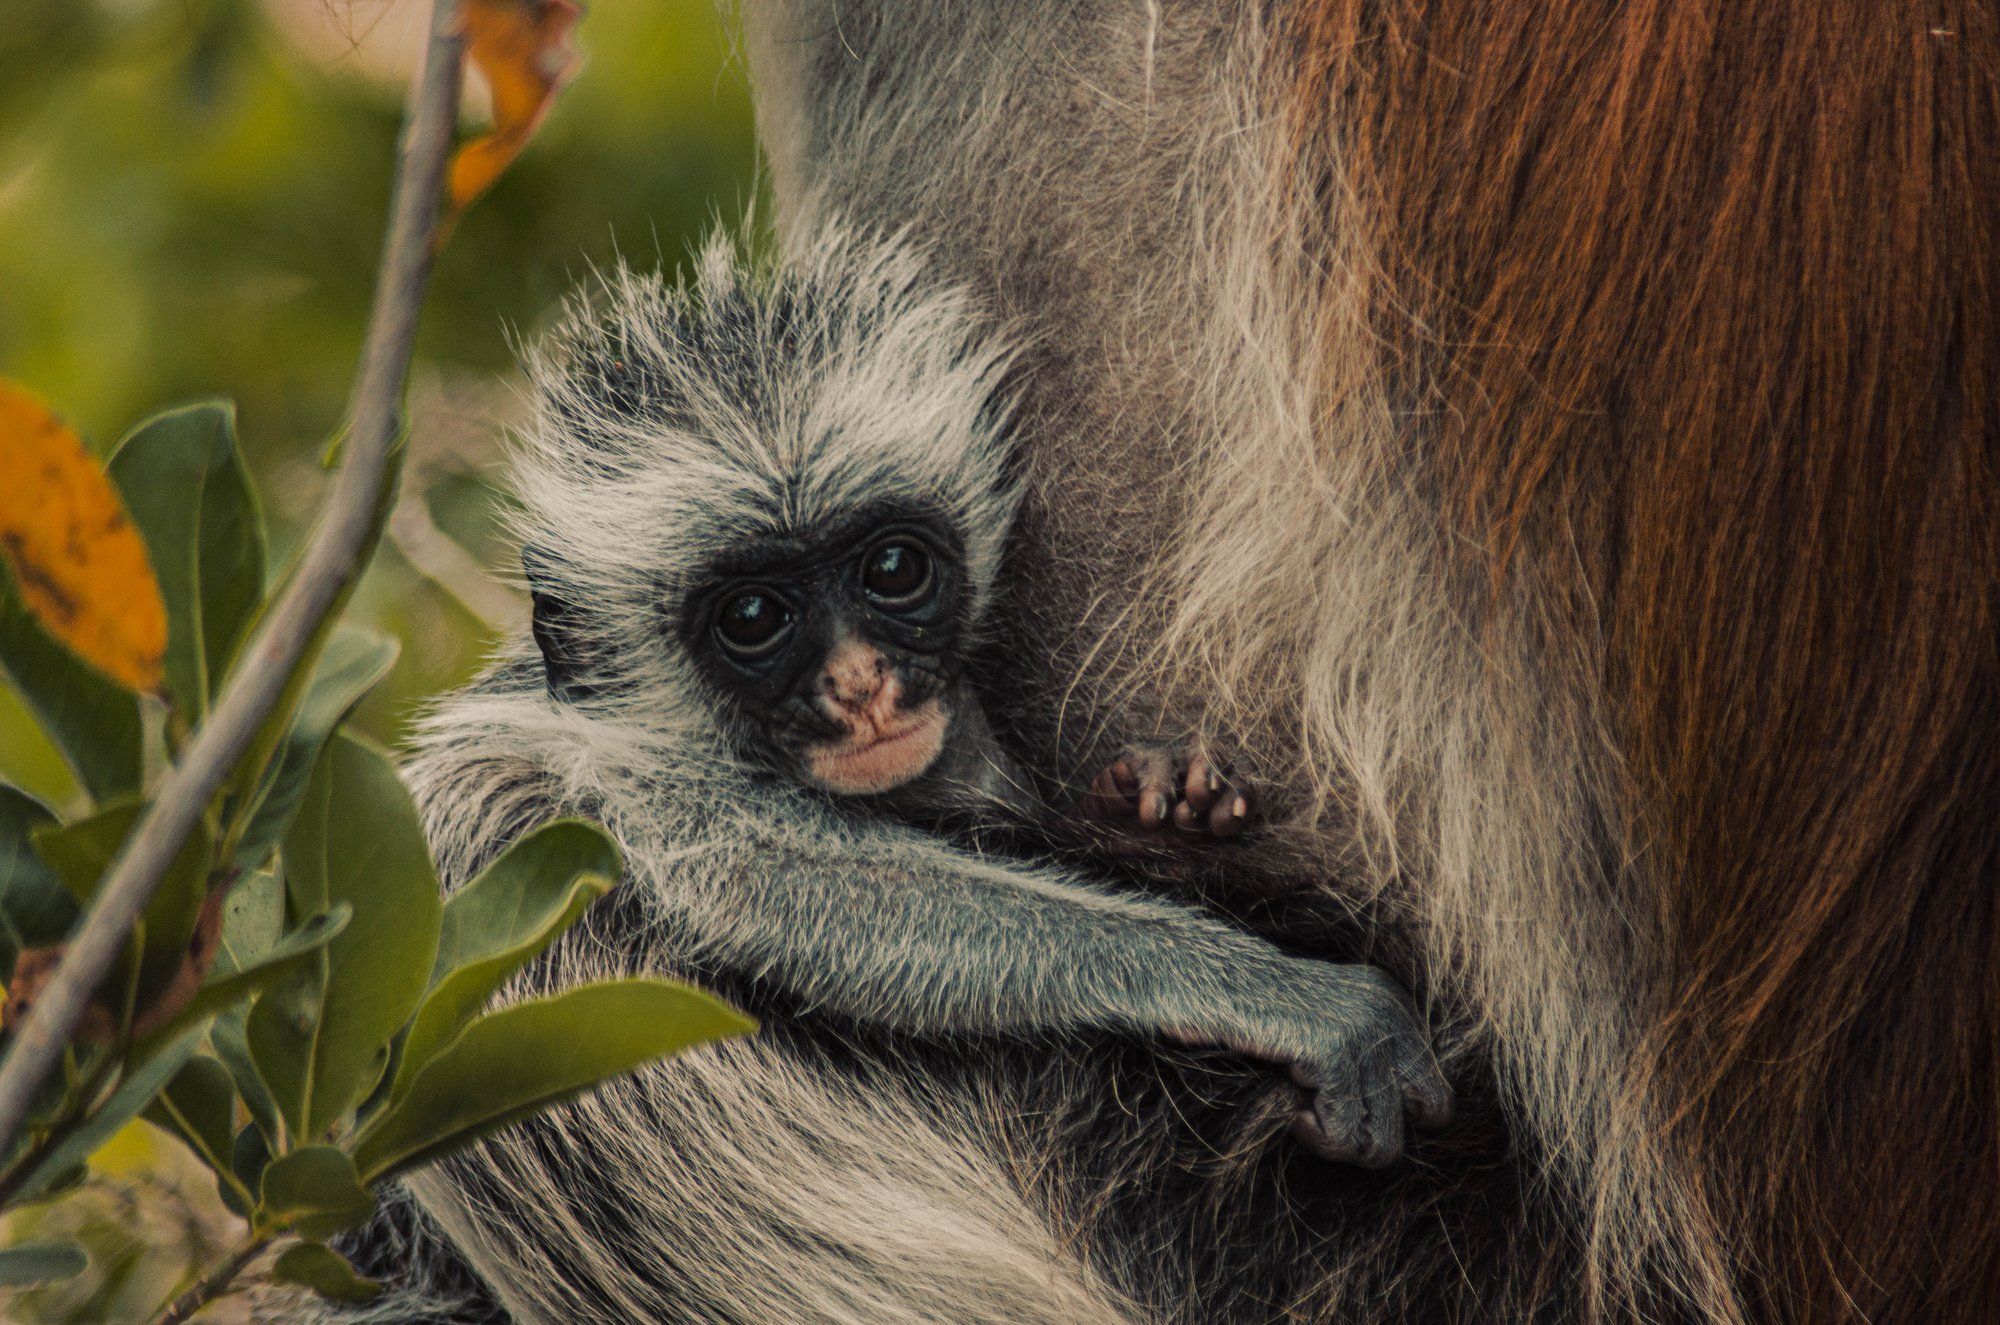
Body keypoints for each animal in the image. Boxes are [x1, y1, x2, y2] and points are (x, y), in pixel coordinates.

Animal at [281, 227, 1452, 1325]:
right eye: (755, 617)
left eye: (892, 568)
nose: (861, 685)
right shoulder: (633, 766)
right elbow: (752, 872)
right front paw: (1268, 990)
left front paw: (1167, 799)